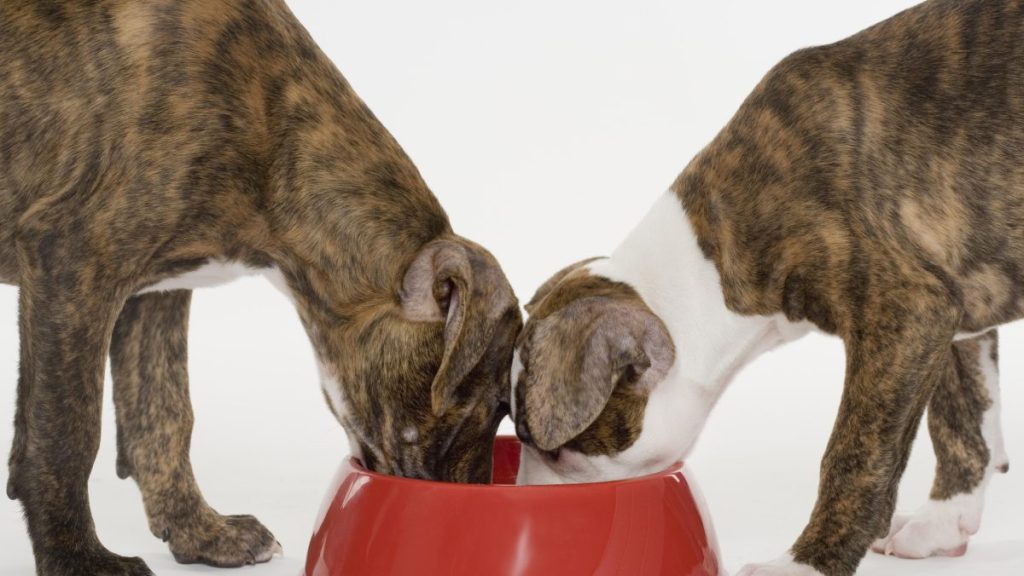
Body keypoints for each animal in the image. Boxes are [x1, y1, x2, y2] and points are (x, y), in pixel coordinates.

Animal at [0, 2, 524, 569]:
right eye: (491, 405)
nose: (473, 497)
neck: (274, 136)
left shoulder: (156, 292)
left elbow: (162, 416)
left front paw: (202, 533)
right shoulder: (73, 259)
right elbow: (67, 430)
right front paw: (78, 558)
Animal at [516, 1, 1019, 573]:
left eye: (556, 450)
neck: (715, 253)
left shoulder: (906, 310)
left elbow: (856, 455)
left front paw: (806, 563)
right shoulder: (956, 295)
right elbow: (964, 417)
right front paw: (945, 521)